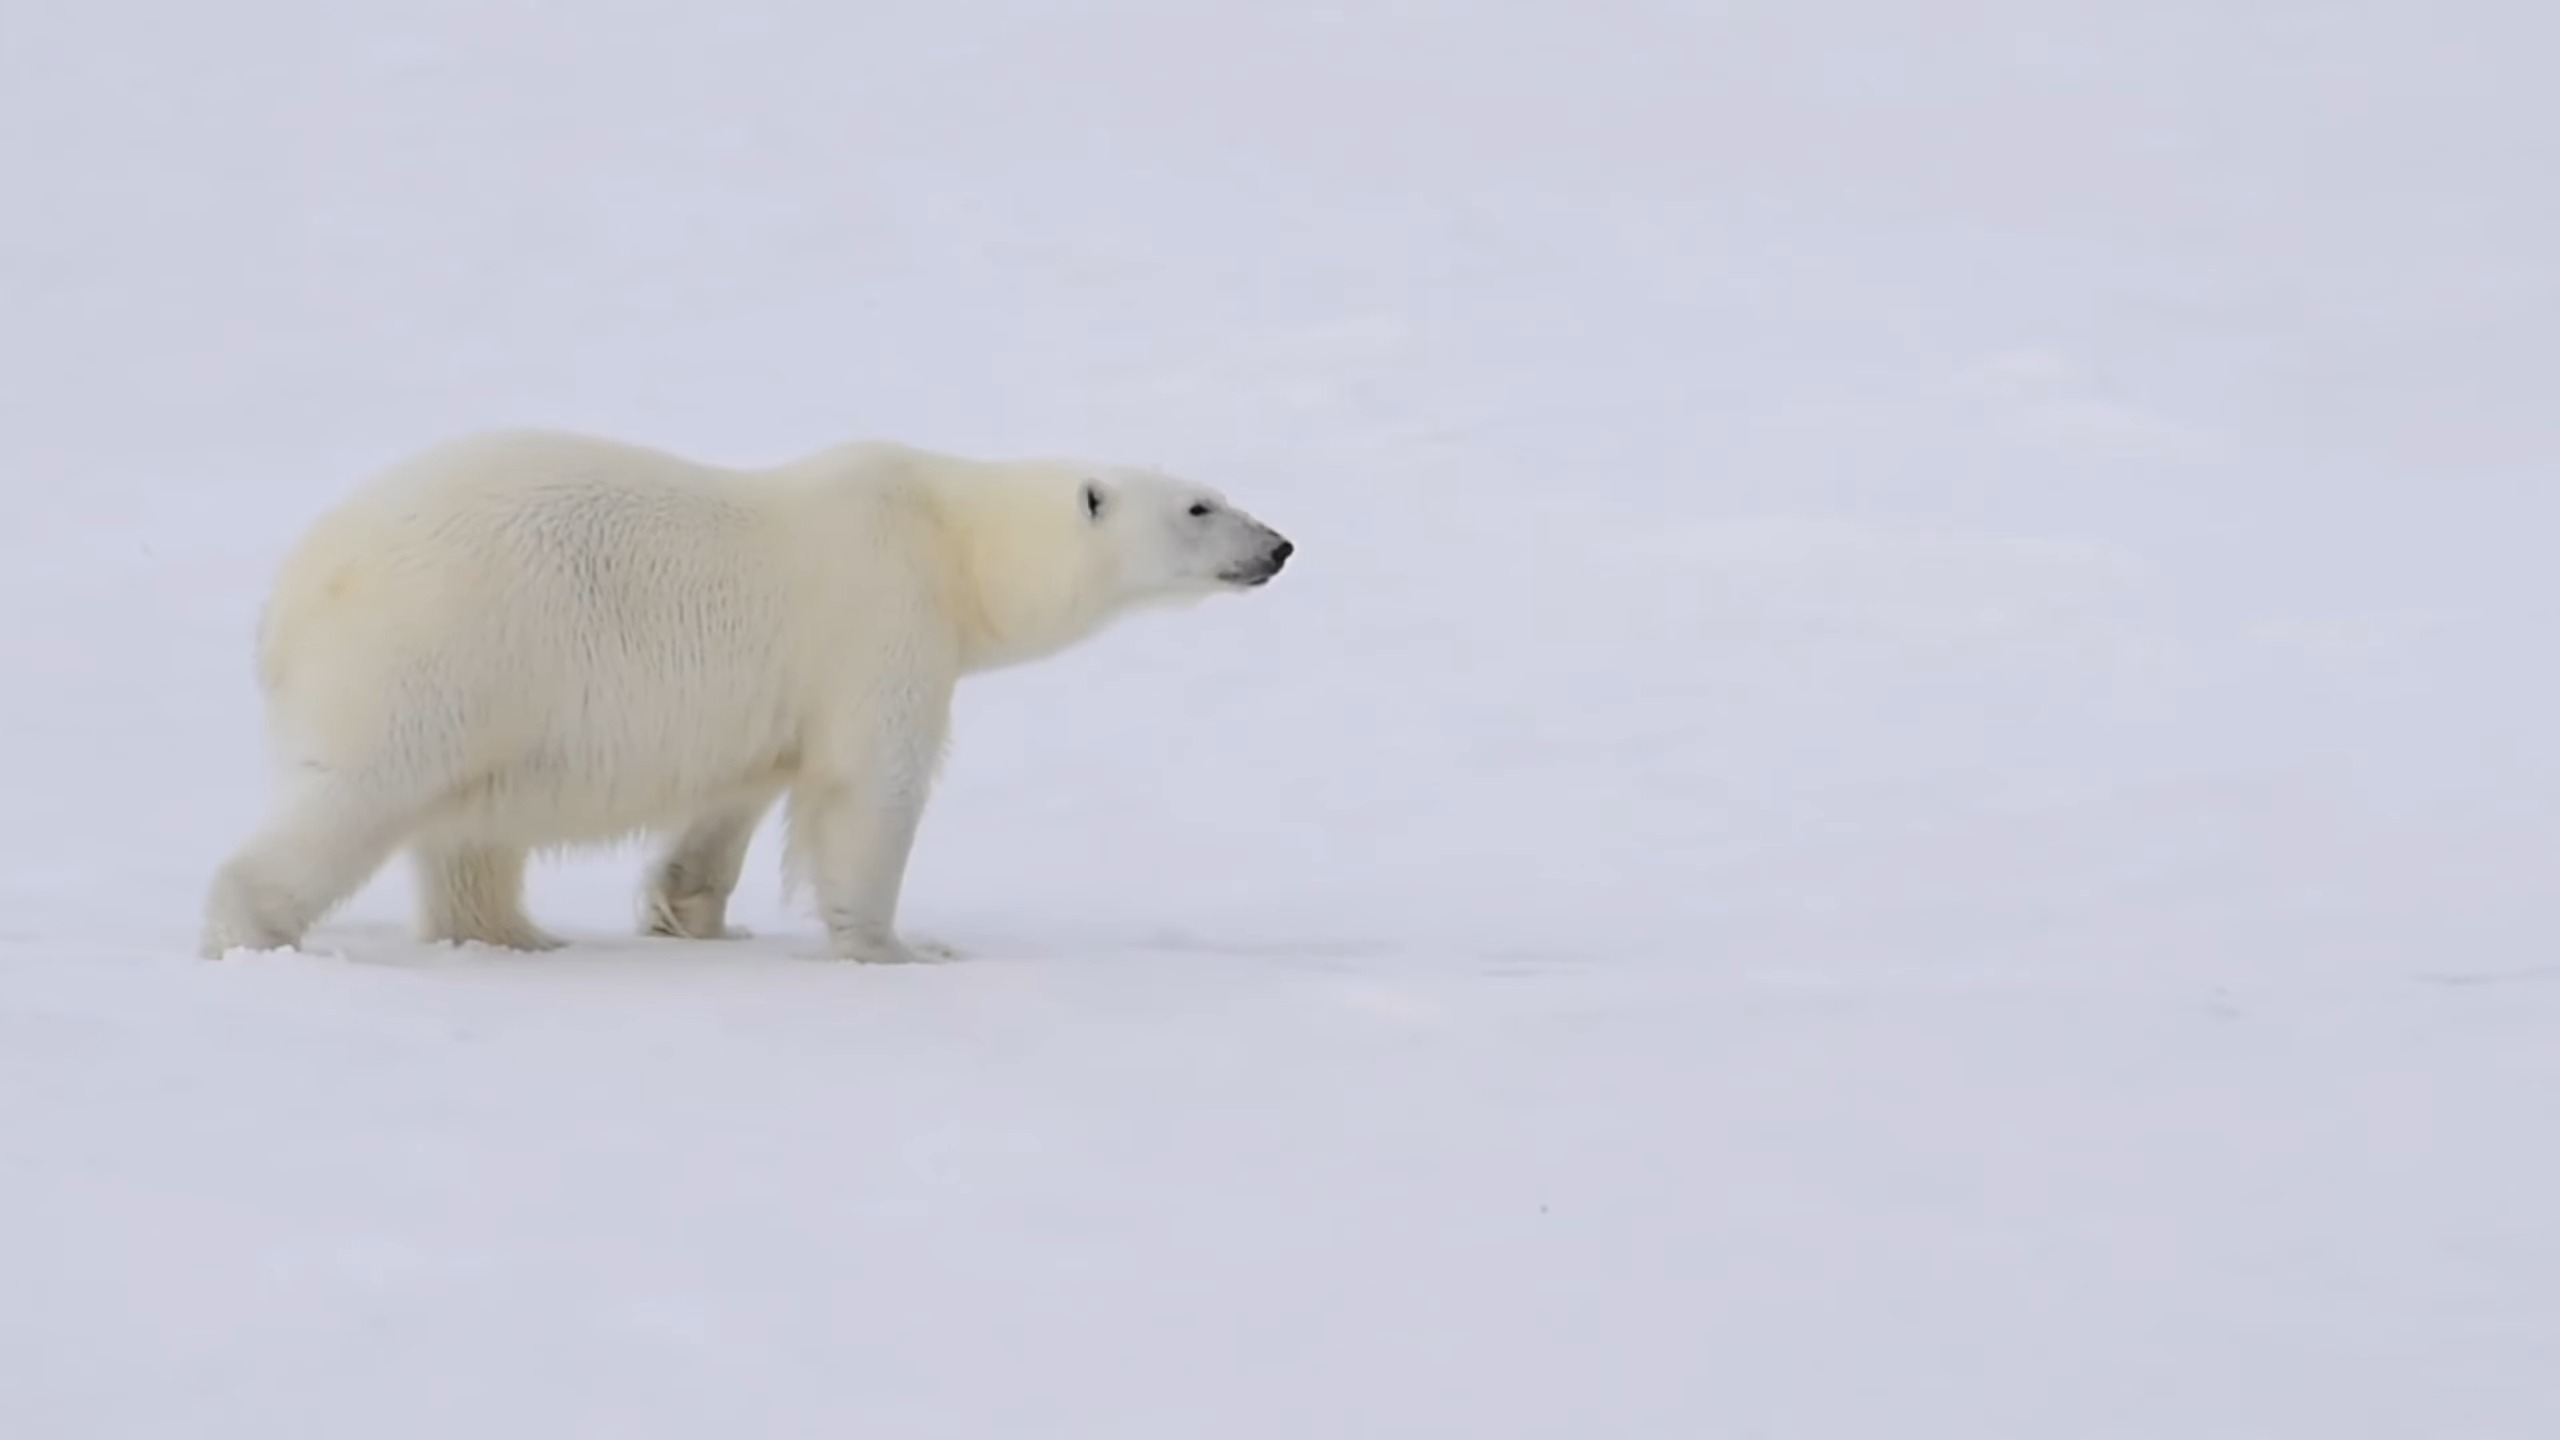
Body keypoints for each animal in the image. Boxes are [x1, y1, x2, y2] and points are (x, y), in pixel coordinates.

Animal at [194, 427, 1300, 963]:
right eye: (1200, 507)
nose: (1281, 546)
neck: (951, 542)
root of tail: (292, 596)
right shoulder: (879, 621)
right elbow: (872, 788)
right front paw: (903, 947)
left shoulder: (775, 697)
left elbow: (732, 804)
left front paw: (694, 919)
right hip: (437, 653)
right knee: (360, 793)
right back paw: (257, 931)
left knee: (469, 833)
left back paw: (518, 935)